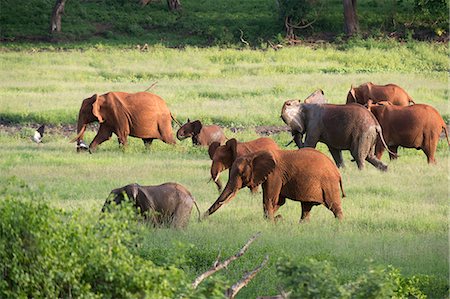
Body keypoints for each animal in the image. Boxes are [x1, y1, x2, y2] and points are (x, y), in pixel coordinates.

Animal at [206, 148, 346, 223]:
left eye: (240, 174)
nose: (201, 219)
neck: (254, 155)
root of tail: (338, 173)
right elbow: (279, 201)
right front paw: (274, 220)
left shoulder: (275, 174)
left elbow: (270, 199)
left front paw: (271, 222)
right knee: (306, 207)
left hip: (329, 183)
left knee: (334, 206)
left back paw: (339, 226)